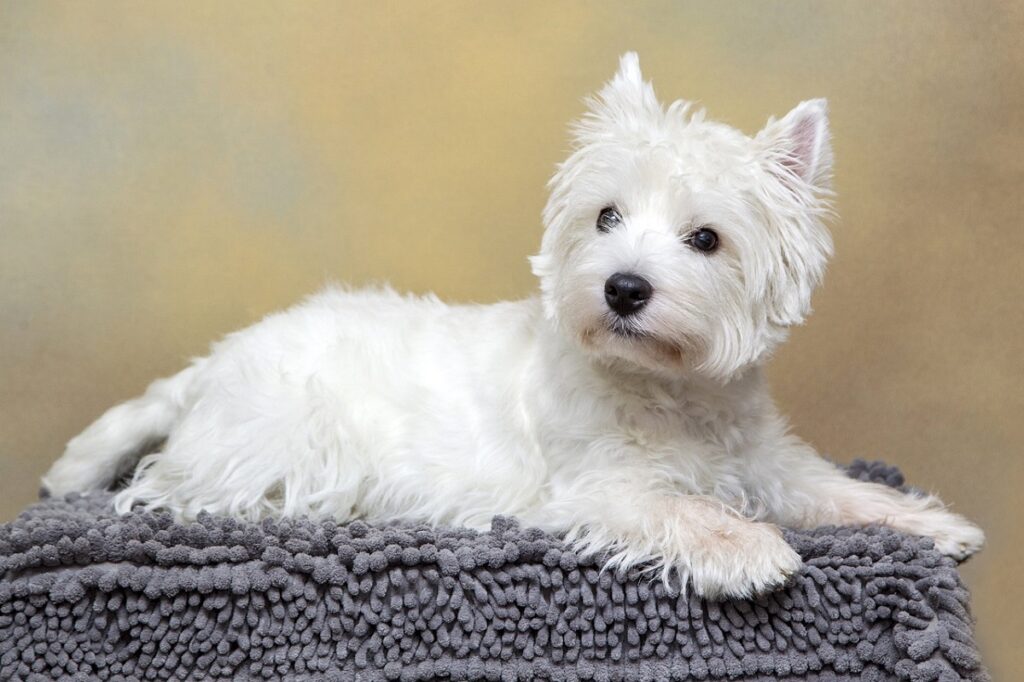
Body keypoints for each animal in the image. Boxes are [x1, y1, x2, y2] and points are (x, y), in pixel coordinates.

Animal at [41, 53, 983, 593]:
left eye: (706, 238)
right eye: (607, 217)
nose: (623, 289)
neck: (671, 392)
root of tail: (214, 363)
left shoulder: (765, 461)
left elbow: (836, 489)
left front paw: (931, 523)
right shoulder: (594, 490)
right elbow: (678, 510)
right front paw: (749, 549)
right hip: (283, 440)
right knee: (170, 490)